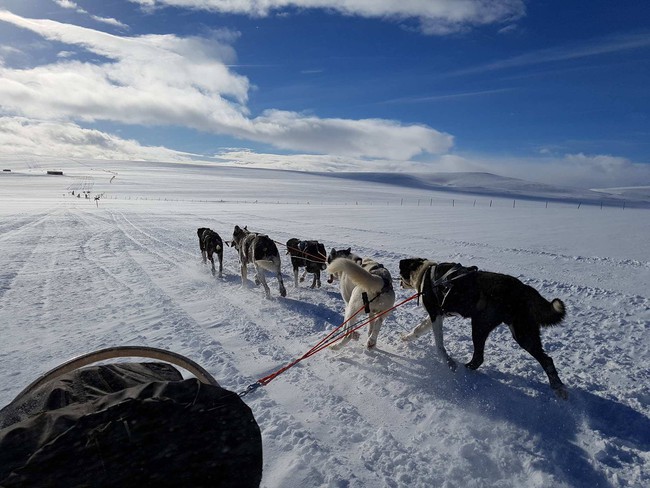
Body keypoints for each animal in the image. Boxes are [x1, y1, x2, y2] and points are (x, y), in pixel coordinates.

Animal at [398, 258, 564, 398]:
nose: (399, 283)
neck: (424, 272)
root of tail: (524, 288)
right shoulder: (437, 316)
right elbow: (418, 330)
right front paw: (406, 338)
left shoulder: (435, 314)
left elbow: (439, 345)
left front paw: (449, 362)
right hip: (516, 330)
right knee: (545, 359)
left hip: (487, 327)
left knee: (480, 357)